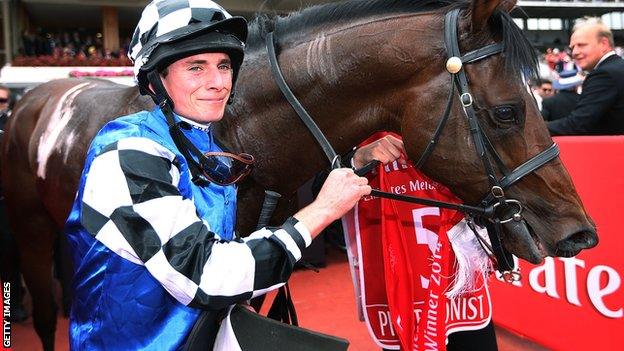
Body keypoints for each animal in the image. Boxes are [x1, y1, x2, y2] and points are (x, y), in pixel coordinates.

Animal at [0, 0, 596, 350]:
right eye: (507, 112)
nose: (579, 234)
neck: (234, 136)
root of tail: (34, 96)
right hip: (29, 229)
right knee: (48, 313)